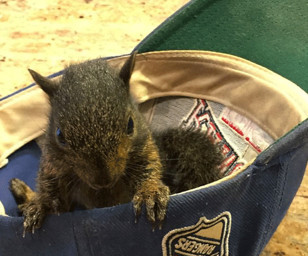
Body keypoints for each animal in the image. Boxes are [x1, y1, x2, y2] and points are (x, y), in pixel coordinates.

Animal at [9, 52, 221, 234]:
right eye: (59, 135)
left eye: (130, 124)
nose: (103, 180)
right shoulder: (52, 165)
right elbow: (54, 198)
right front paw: (41, 204)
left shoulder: (145, 148)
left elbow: (150, 168)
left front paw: (150, 192)